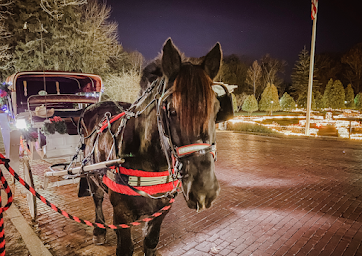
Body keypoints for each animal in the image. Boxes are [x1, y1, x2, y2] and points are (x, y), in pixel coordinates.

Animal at [81, 39, 223, 255]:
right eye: (171, 110)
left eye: (216, 109)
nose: (204, 189)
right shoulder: (121, 212)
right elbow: (125, 247)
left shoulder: (162, 208)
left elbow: (151, 241)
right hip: (91, 174)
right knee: (96, 197)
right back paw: (99, 230)